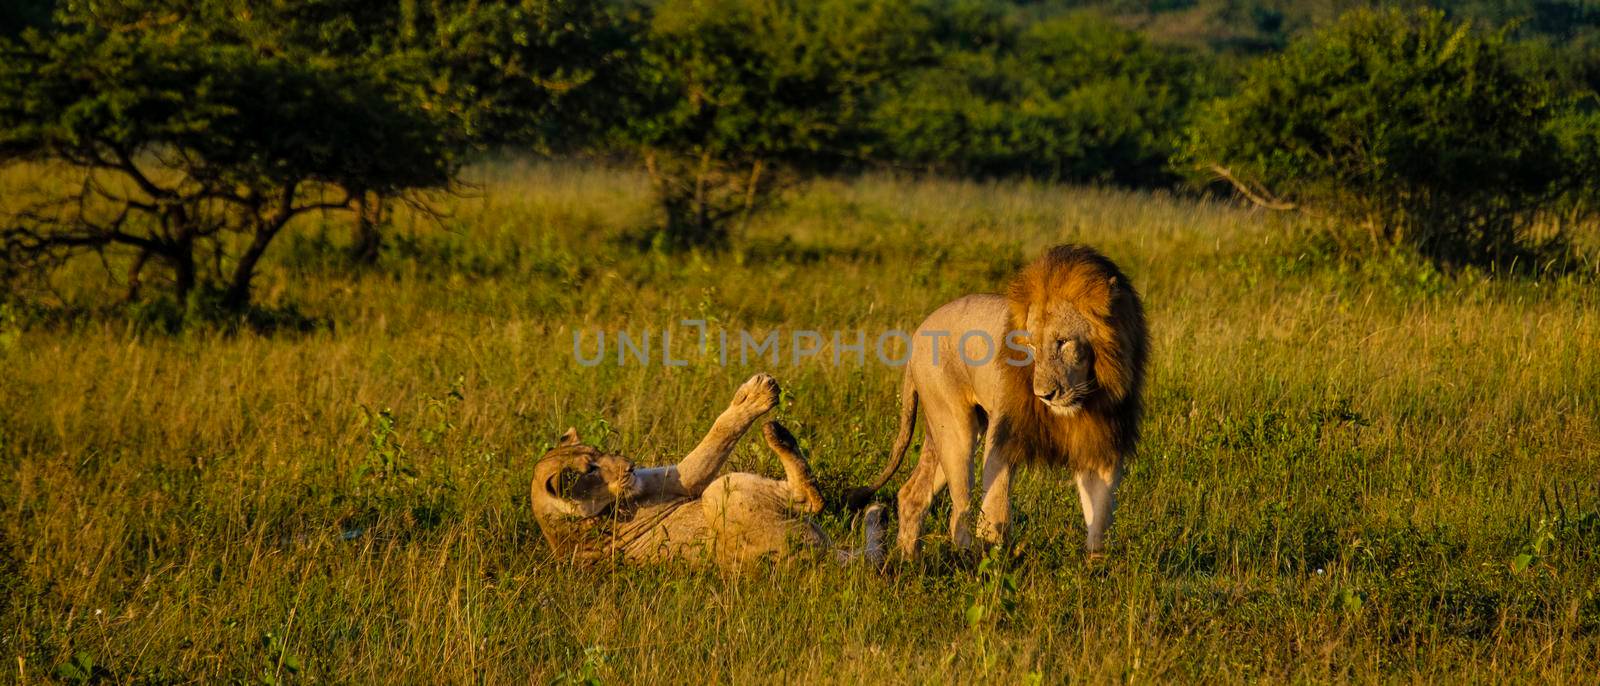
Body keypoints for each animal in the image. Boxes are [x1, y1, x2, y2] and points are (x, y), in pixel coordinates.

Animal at [534, 370, 889, 562]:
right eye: (590, 469)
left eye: (598, 452)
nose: (631, 465)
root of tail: (816, 561)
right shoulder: (684, 479)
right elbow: (719, 431)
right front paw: (755, 395)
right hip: (721, 491)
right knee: (811, 499)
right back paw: (778, 434)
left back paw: (878, 514)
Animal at [857, 244, 1145, 556]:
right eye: (1031, 346)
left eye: (1063, 342)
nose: (1044, 395)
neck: (1084, 398)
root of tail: (918, 334)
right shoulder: (1004, 434)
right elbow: (996, 505)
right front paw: (996, 555)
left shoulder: (1099, 439)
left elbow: (1100, 514)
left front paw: (1096, 561)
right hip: (956, 426)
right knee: (959, 511)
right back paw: (965, 558)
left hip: (944, 431)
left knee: (912, 494)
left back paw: (907, 558)